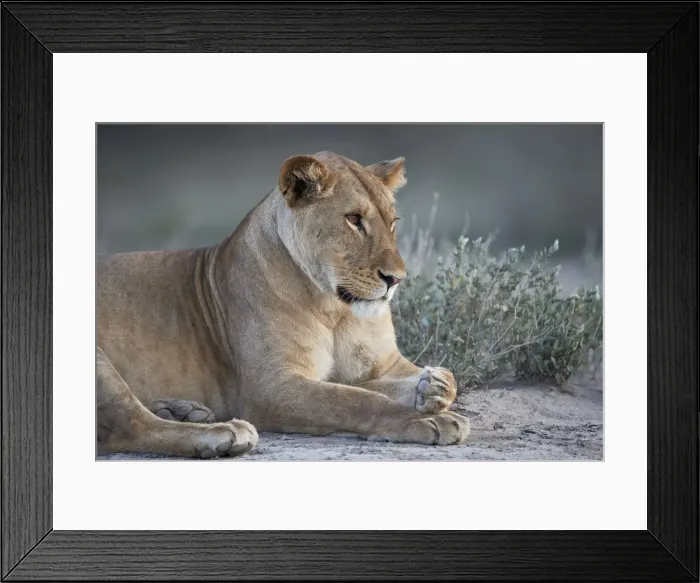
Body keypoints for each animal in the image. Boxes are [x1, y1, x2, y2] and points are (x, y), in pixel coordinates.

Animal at [97, 151, 470, 458]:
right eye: (353, 219)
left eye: (392, 222)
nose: (396, 279)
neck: (335, 309)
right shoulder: (270, 388)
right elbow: (354, 400)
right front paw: (427, 420)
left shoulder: (383, 365)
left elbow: (443, 380)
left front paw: (432, 387)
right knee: (127, 427)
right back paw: (222, 434)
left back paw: (183, 411)